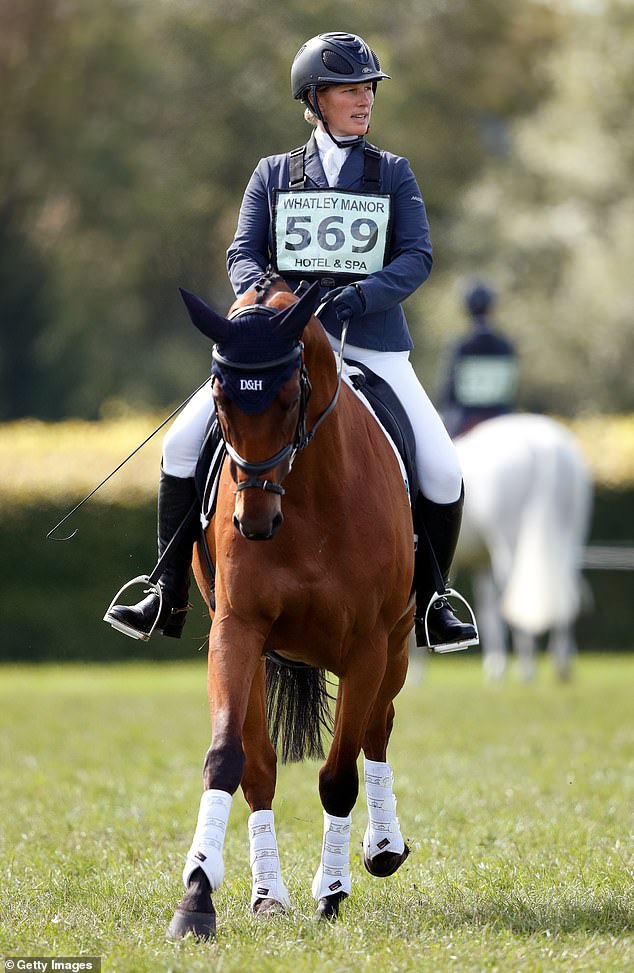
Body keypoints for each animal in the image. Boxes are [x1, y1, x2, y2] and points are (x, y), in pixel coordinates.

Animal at [167, 276, 414, 940]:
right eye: (220, 400)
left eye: (286, 397)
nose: (253, 523)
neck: (308, 493)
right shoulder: (236, 631)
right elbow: (228, 760)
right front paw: (197, 897)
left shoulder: (366, 648)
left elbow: (338, 775)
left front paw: (331, 891)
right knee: (261, 769)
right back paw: (266, 894)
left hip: (399, 645)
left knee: (377, 731)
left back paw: (383, 848)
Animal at [452, 414, 592, 680]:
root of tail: (543, 444)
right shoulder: (481, 564)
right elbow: (487, 611)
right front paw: (495, 663)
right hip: (571, 539)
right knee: (567, 595)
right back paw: (561, 663)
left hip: (510, 546)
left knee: (515, 596)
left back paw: (527, 665)